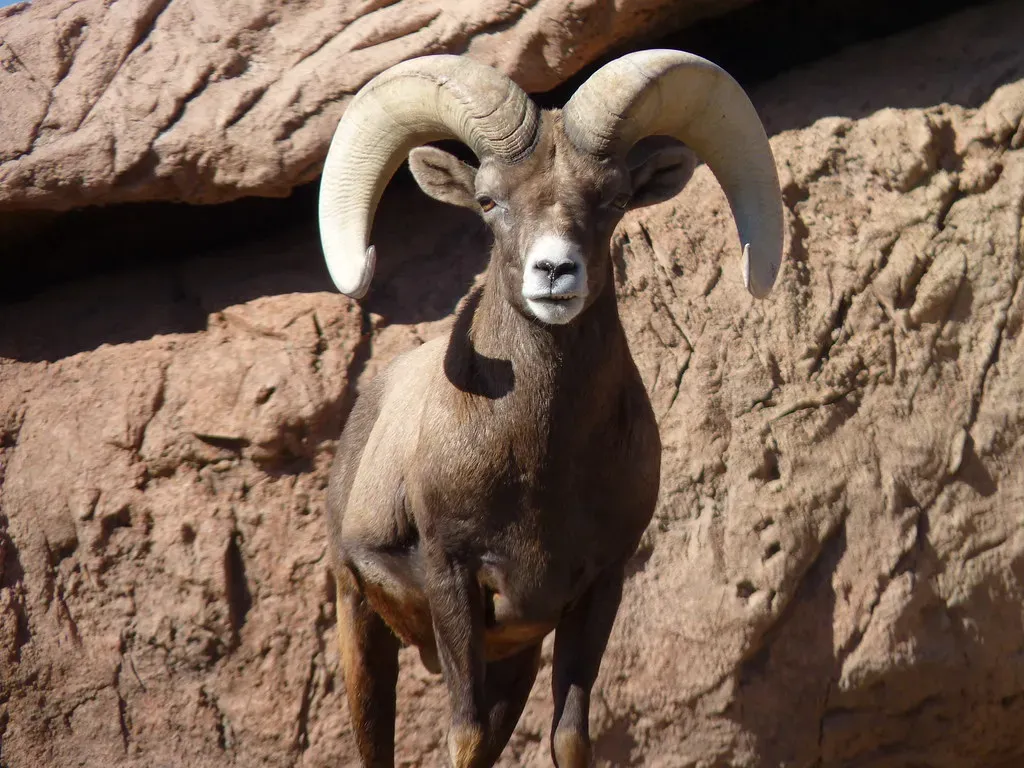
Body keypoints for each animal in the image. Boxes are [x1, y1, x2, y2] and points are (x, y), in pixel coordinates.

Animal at [317, 50, 783, 768]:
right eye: (489, 201)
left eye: (614, 200)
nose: (555, 273)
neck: (542, 470)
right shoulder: (452, 576)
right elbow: (464, 735)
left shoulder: (594, 591)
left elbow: (569, 736)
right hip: (360, 624)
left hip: (514, 663)